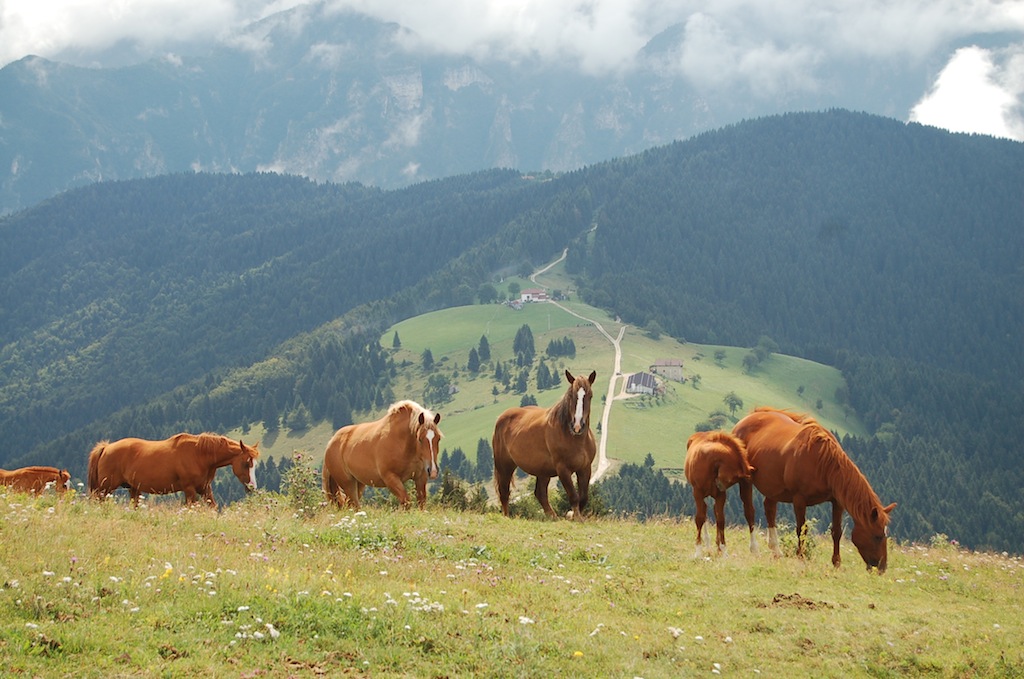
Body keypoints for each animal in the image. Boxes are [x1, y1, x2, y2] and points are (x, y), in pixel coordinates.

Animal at [87, 432, 260, 507]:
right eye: (246, 463)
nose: (252, 487)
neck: (200, 454)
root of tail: (106, 447)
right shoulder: (189, 489)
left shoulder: (205, 488)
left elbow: (212, 507)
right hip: (105, 488)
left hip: (133, 489)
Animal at [491, 368, 598, 518]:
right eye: (571, 396)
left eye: (590, 396)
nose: (577, 426)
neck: (575, 439)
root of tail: (501, 418)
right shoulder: (563, 470)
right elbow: (574, 496)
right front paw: (575, 517)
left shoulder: (585, 469)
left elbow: (583, 498)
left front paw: (572, 515)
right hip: (505, 465)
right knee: (504, 492)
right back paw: (507, 516)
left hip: (542, 470)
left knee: (540, 493)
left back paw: (553, 517)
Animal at [729, 409, 897, 573]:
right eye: (878, 536)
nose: (881, 568)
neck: (823, 463)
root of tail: (746, 419)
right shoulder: (799, 500)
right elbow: (802, 530)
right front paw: (801, 559)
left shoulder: (837, 502)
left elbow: (836, 531)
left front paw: (836, 563)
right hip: (746, 481)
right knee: (750, 512)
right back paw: (755, 549)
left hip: (773, 488)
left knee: (769, 509)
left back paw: (776, 551)